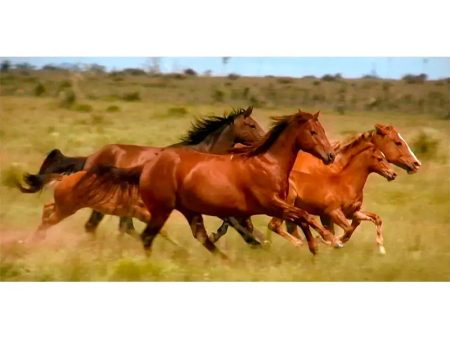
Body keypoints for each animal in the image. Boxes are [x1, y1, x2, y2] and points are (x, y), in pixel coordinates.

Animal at [18, 107, 264, 242]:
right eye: (251, 125)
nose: (264, 141)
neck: (200, 153)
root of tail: (90, 157)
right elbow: (233, 221)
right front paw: (257, 240)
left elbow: (232, 220)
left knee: (106, 226)